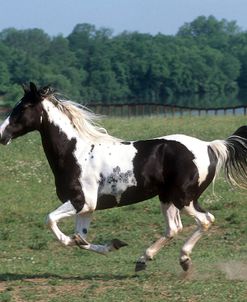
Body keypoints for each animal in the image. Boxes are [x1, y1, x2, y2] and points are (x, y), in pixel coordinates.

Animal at [0, 82, 247, 272]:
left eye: (23, 107)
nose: (2, 135)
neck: (75, 152)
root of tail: (209, 146)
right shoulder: (87, 208)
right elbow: (81, 239)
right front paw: (113, 245)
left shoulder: (81, 202)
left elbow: (52, 221)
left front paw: (93, 242)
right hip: (167, 198)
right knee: (173, 228)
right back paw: (143, 260)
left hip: (184, 198)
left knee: (205, 220)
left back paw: (184, 259)